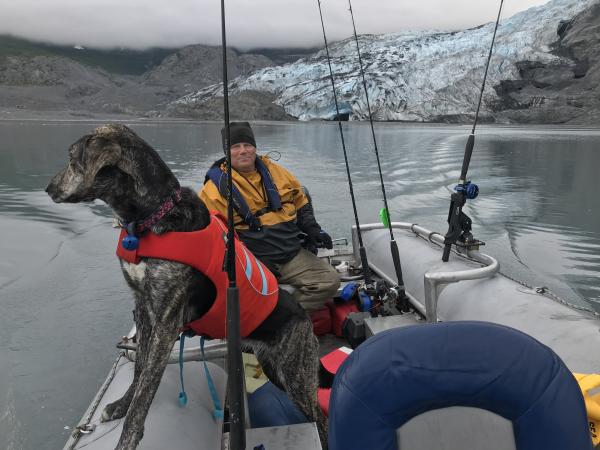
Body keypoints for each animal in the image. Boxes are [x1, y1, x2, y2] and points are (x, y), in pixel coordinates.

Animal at [45, 124, 328, 450]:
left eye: (72, 158)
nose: (48, 188)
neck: (150, 217)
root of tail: (305, 319)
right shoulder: (144, 309)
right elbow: (139, 370)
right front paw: (119, 405)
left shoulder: (167, 321)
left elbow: (144, 395)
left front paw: (126, 440)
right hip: (274, 366)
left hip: (295, 375)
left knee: (320, 415)